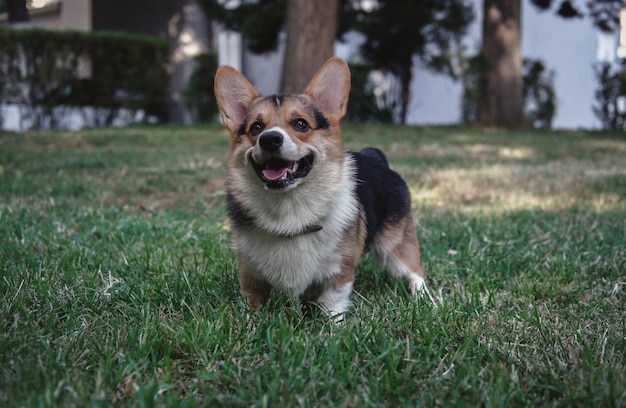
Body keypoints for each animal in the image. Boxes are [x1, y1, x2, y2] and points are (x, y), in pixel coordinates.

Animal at [214, 57, 428, 318]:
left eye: (300, 124)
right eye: (256, 127)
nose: (269, 139)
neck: (289, 207)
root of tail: (376, 158)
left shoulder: (340, 270)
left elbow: (332, 304)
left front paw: (331, 325)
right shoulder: (249, 273)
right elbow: (252, 304)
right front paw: (251, 321)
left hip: (396, 247)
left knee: (415, 272)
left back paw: (427, 303)